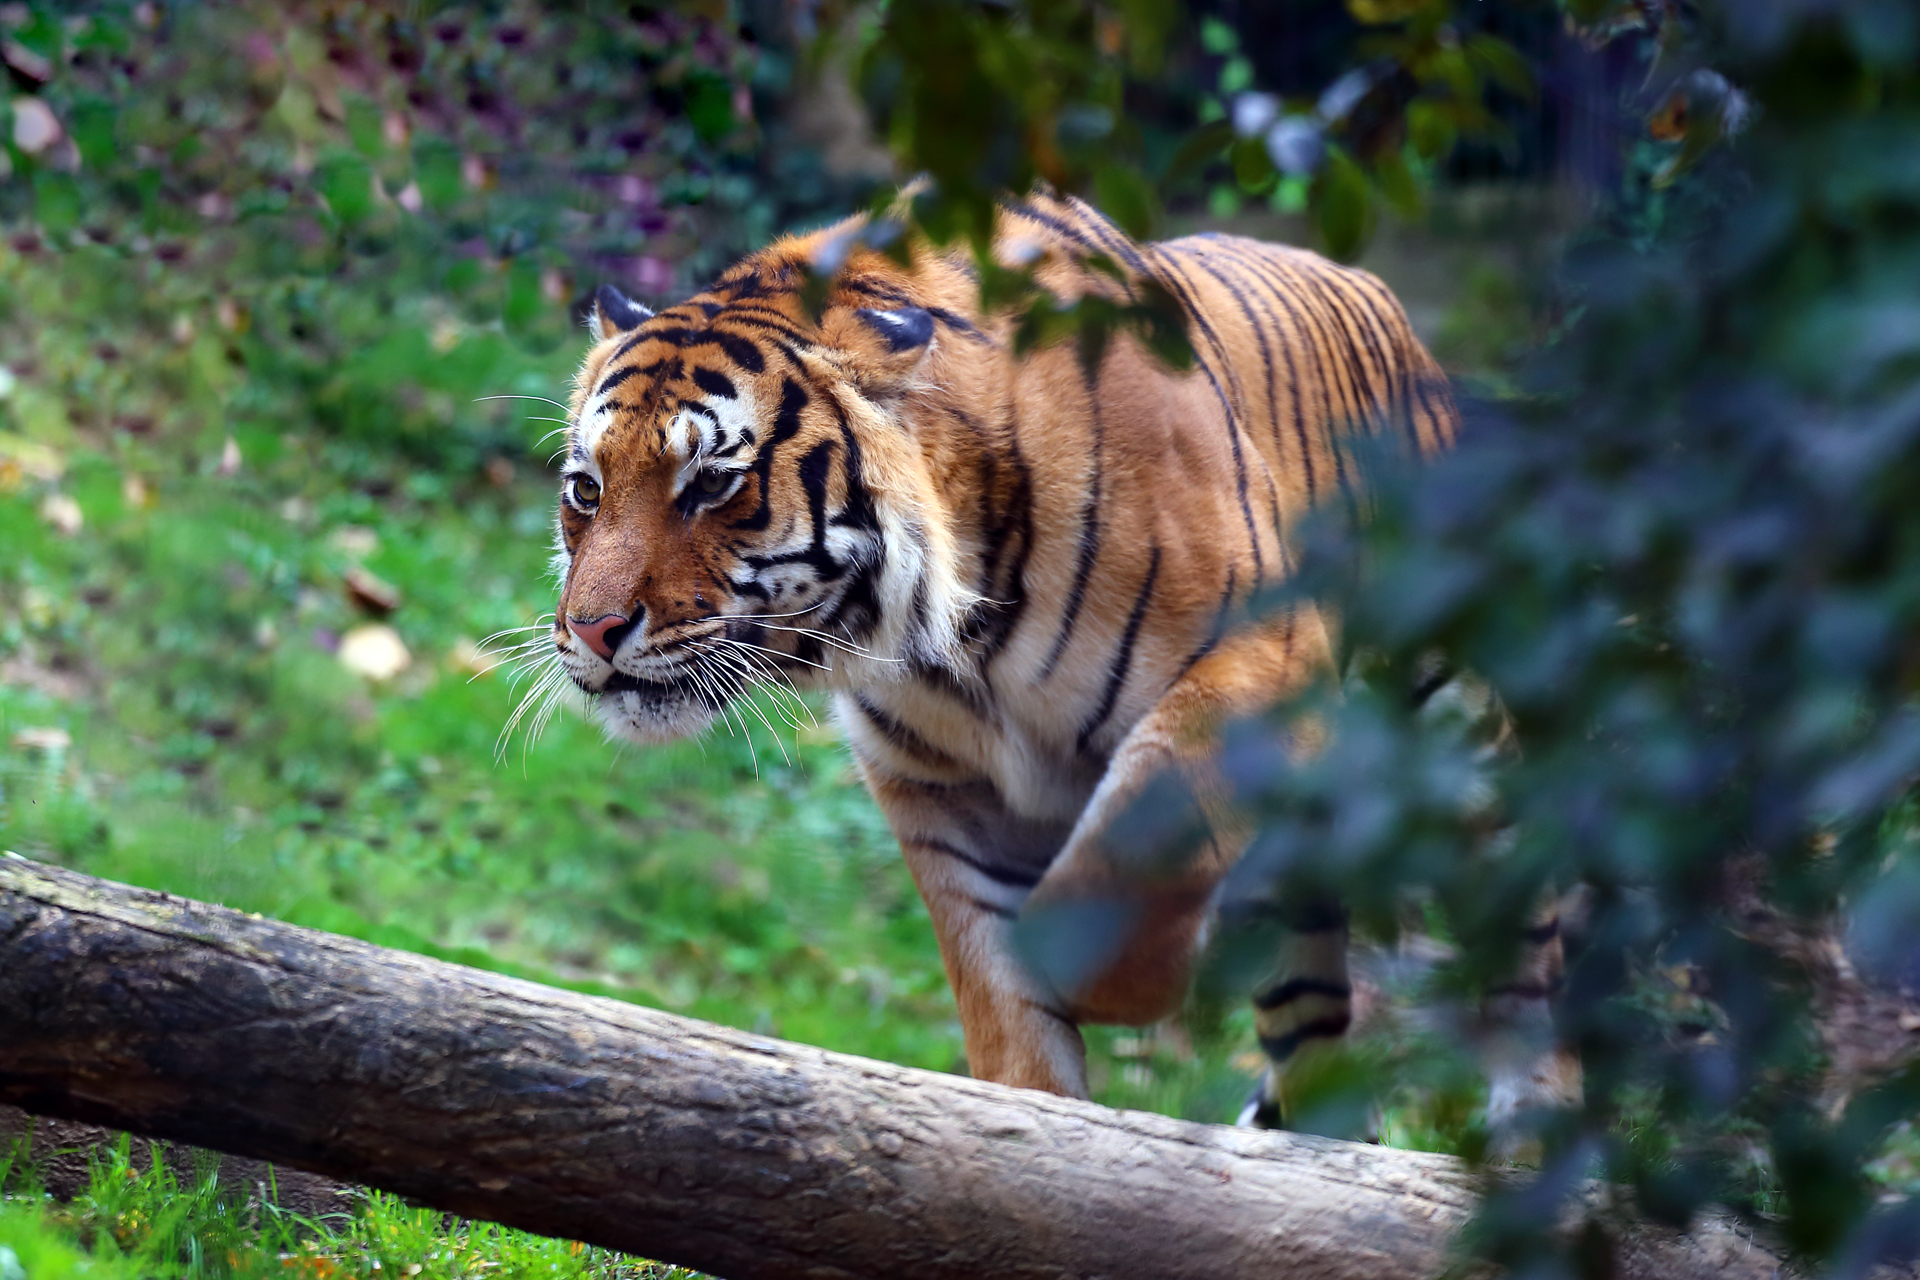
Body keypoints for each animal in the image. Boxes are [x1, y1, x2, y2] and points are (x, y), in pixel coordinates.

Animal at [548, 189, 1578, 1132]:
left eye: (712, 484)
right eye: (586, 490)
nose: (592, 631)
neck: (954, 644)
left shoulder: (1264, 656)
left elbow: (1136, 845)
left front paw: (1111, 988)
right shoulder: (940, 790)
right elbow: (1005, 1009)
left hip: (1463, 750)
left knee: (1532, 955)